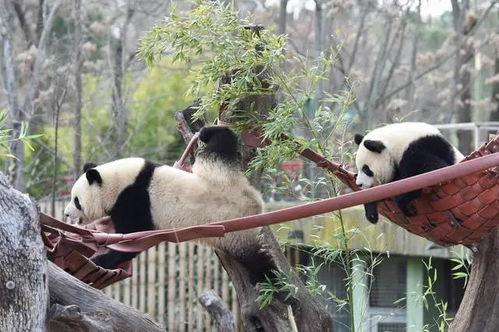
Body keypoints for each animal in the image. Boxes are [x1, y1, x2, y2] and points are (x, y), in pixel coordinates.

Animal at [65, 126, 274, 282]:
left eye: (76, 201)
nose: (66, 213)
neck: (120, 182)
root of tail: (254, 201)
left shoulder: (135, 200)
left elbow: (133, 237)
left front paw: (99, 259)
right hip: (216, 171)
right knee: (221, 146)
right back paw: (208, 131)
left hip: (236, 231)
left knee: (256, 261)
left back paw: (272, 283)